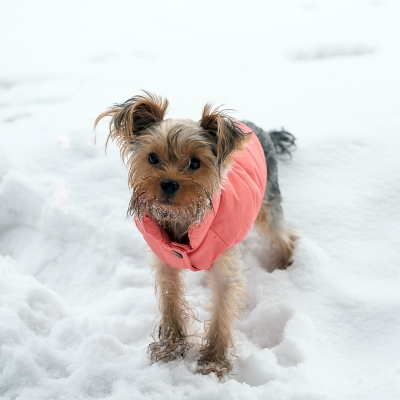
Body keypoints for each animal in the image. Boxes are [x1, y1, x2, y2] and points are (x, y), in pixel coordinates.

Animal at [95, 91, 296, 378]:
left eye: (195, 163)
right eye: (152, 158)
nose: (168, 183)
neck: (183, 219)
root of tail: (259, 128)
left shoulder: (224, 266)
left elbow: (221, 312)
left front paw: (212, 362)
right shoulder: (165, 261)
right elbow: (170, 302)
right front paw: (170, 348)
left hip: (268, 200)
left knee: (281, 234)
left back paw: (283, 265)